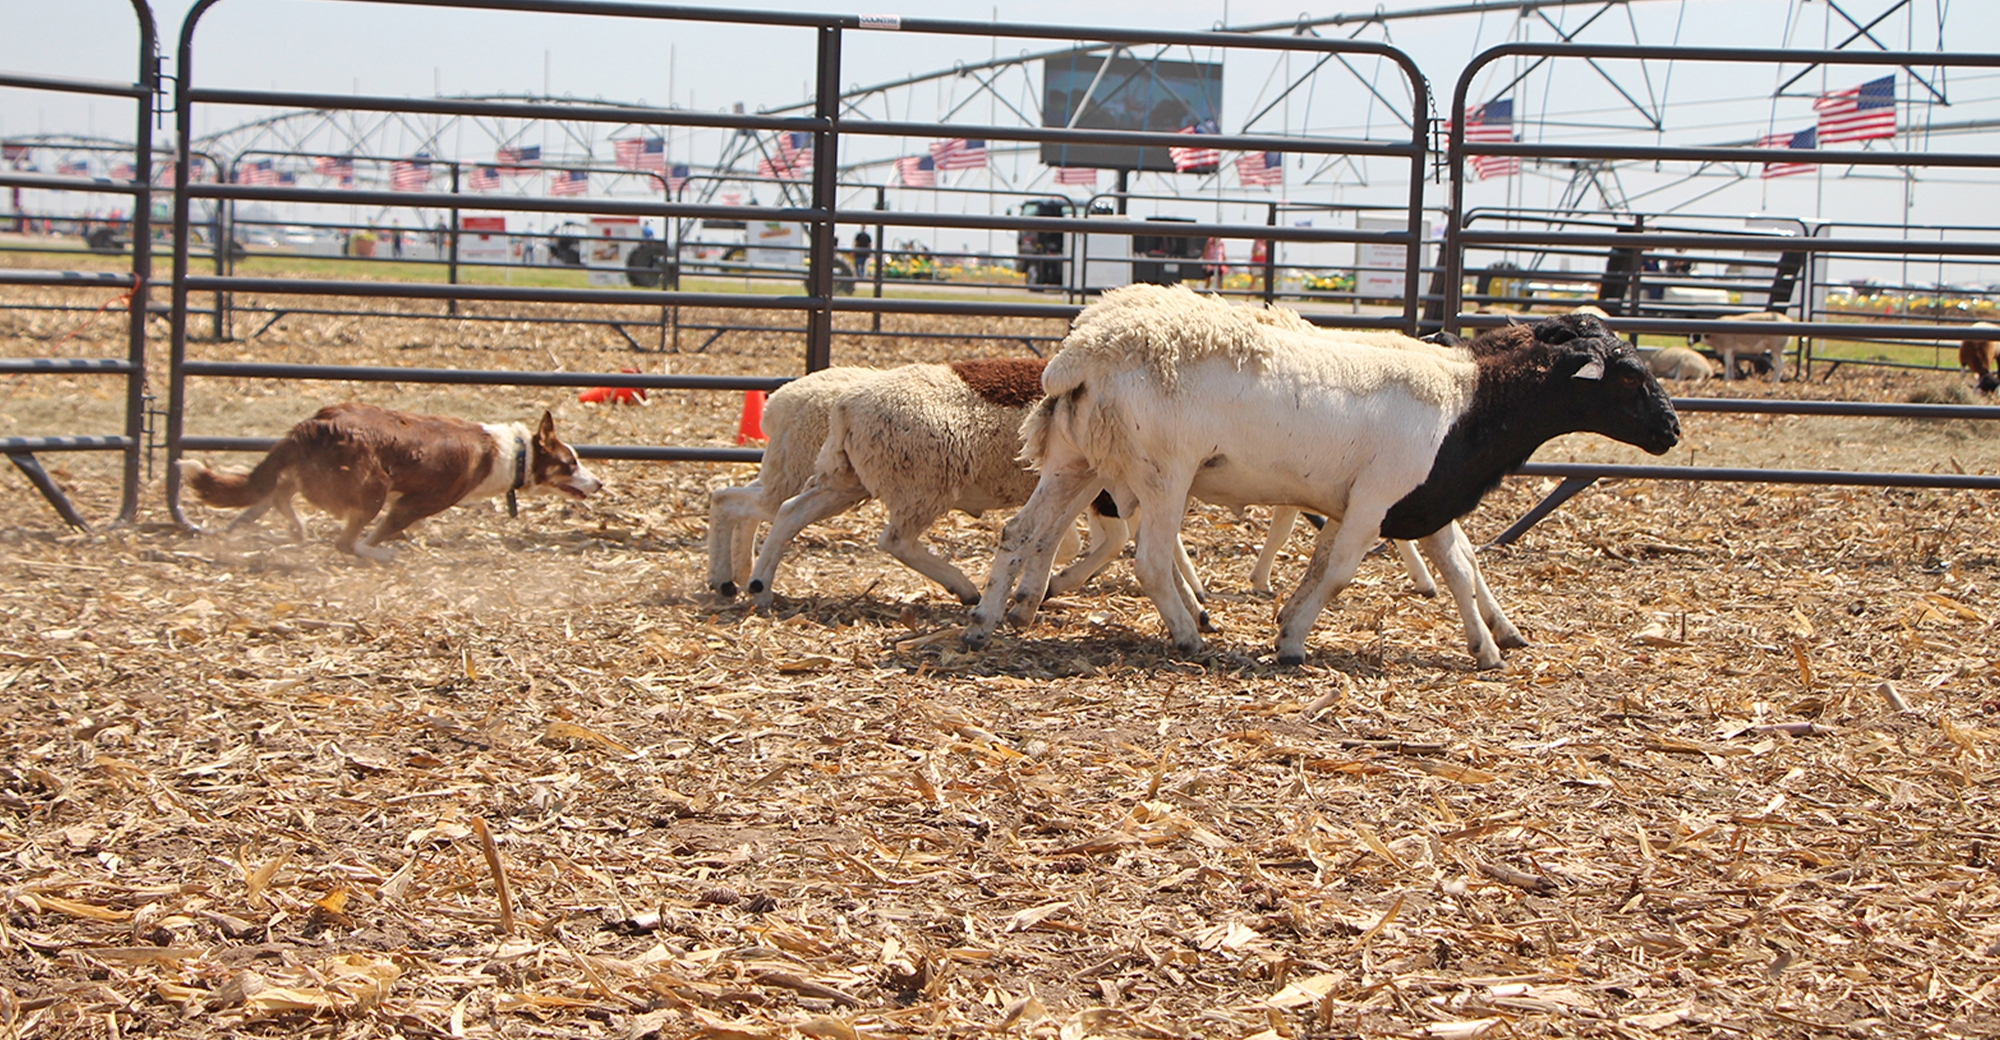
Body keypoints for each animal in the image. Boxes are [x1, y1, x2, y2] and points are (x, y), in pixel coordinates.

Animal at [179, 402, 600, 560]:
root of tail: (315, 424)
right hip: (372, 488)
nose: (599, 484)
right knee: (345, 541)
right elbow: (386, 529)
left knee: (282, 492)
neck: (514, 452)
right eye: (570, 463)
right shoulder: (414, 503)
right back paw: (374, 553)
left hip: (319, 474)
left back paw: (298, 529)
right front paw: (383, 544)